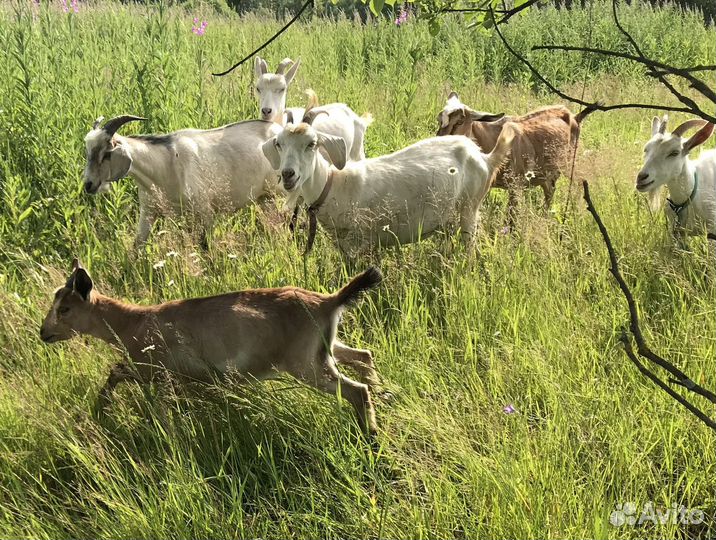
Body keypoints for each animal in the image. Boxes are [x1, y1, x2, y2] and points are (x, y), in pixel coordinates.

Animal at [39, 259, 382, 434]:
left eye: (65, 309)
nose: (44, 333)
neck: (132, 321)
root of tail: (329, 302)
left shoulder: (156, 371)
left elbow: (120, 374)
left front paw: (103, 409)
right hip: (327, 350)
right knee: (364, 356)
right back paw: (384, 395)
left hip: (308, 366)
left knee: (356, 391)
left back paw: (371, 435)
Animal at [83, 116, 282, 248]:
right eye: (88, 152)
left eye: (106, 154)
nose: (88, 185)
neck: (166, 166)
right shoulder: (148, 211)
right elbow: (137, 244)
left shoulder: (204, 209)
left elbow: (206, 244)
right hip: (265, 197)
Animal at [261, 117, 515, 254]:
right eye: (279, 144)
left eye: (312, 144)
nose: (288, 174)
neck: (333, 184)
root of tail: (485, 158)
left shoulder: (360, 241)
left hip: (469, 209)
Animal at [437, 92, 598, 219]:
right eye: (439, 120)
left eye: (460, 121)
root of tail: (575, 117)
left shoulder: (515, 186)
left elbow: (511, 218)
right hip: (546, 175)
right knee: (550, 191)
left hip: (570, 163)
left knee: (580, 182)